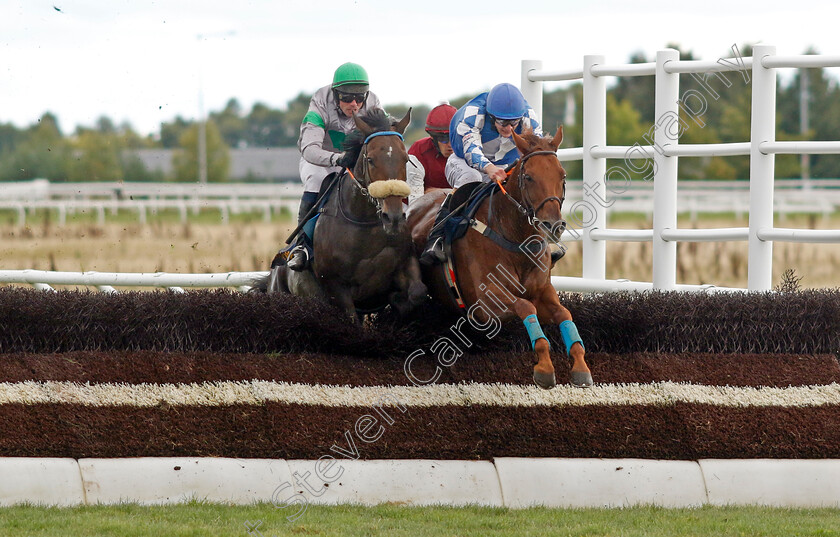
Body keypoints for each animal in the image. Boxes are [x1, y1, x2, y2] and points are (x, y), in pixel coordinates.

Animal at [266, 107, 426, 320]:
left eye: (405, 159)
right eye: (370, 160)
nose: (392, 218)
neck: (367, 226)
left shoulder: (406, 262)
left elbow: (417, 292)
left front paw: (396, 305)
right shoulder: (337, 287)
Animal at [406, 125, 592, 388]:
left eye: (562, 175)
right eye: (528, 177)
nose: (552, 226)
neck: (516, 242)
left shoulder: (543, 290)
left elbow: (564, 313)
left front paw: (580, 368)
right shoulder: (485, 306)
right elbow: (526, 307)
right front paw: (544, 368)